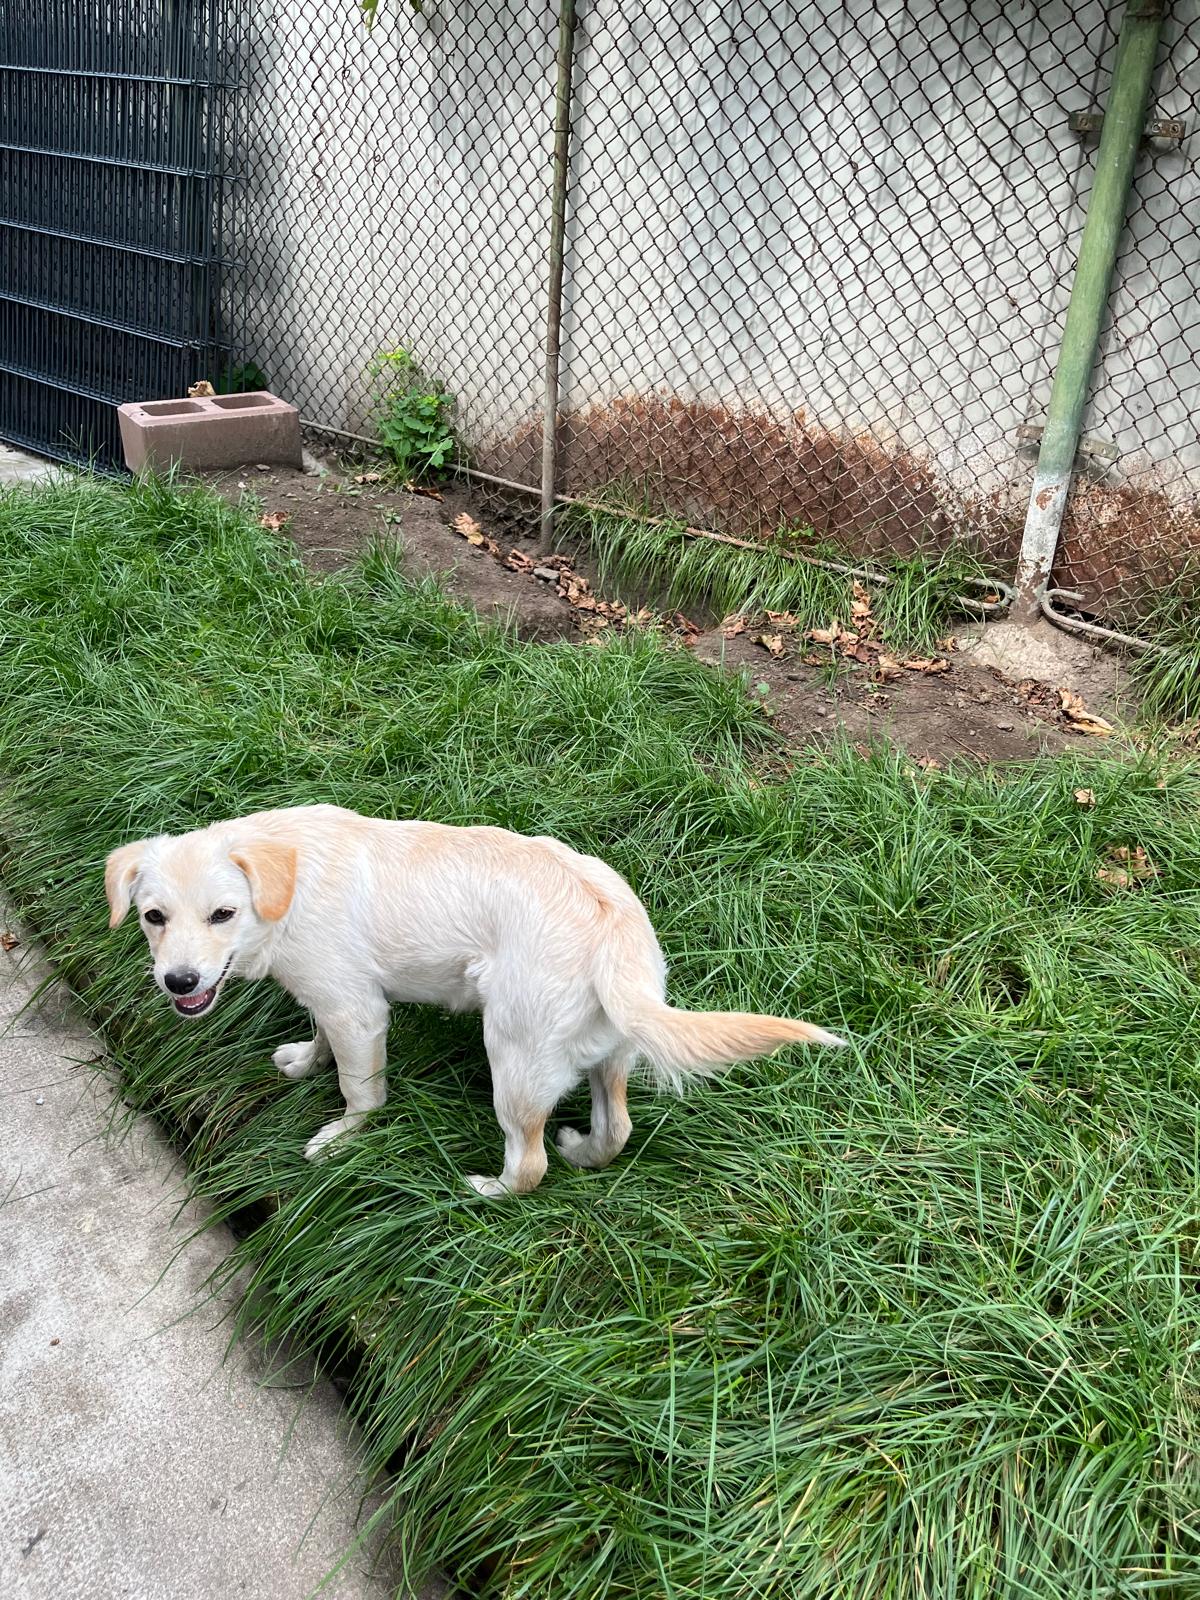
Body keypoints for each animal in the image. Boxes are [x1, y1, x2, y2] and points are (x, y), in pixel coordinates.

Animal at [105, 805, 845, 1194]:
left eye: (222, 914)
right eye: (153, 917)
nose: (179, 983)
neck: (284, 875)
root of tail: (611, 928)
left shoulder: (360, 1012)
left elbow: (360, 1093)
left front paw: (342, 1140)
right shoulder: (334, 999)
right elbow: (320, 1040)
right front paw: (305, 1062)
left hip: (512, 1062)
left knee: (530, 1163)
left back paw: (489, 1188)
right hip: (608, 1056)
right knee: (616, 1129)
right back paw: (584, 1152)